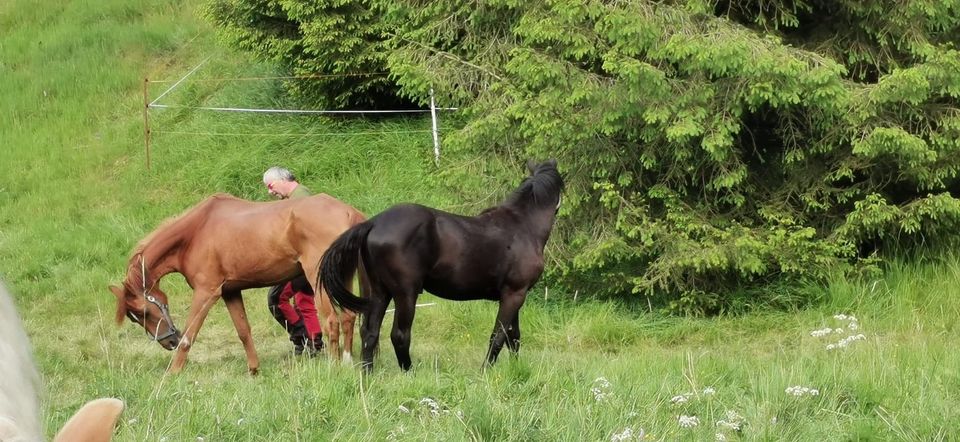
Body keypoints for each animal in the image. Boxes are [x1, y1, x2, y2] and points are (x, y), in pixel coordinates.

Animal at [109, 193, 368, 372]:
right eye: (135, 317)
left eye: (143, 312)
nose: (168, 341)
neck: (195, 232)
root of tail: (348, 213)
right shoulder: (230, 292)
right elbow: (243, 331)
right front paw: (254, 370)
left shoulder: (207, 293)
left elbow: (190, 334)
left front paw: (173, 372)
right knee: (348, 317)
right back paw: (347, 361)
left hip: (319, 279)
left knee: (332, 321)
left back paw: (333, 367)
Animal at [322, 161, 564, 372]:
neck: (523, 227)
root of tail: (373, 223)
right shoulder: (515, 294)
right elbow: (498, 336)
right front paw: (485, 371)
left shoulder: (512, 294)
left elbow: (513, 337)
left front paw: (516, 369)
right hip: (405, 294)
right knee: (399, 335)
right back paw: (409, 372)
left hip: (380, 293)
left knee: (369, 333)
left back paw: (368, 373)